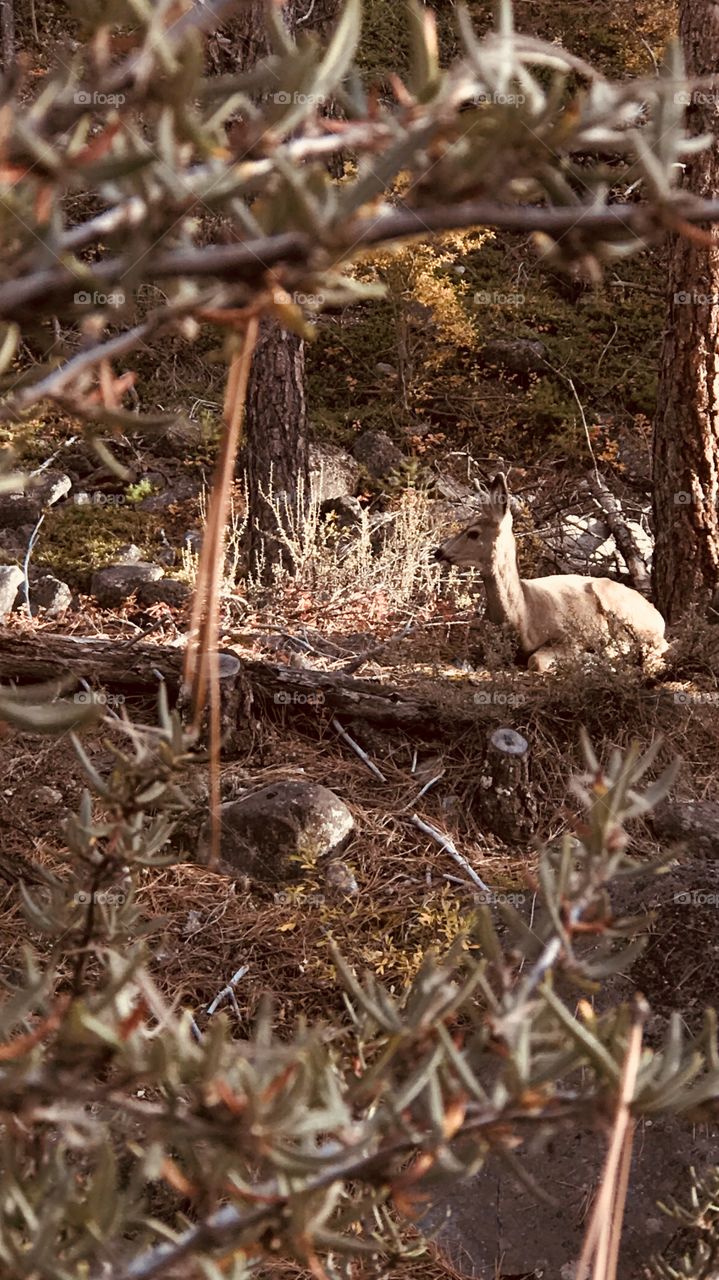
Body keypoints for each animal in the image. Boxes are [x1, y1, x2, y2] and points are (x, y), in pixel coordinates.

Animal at [427, 476, 665, 675]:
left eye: (473, 533)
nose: (439, 551)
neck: (521, 616)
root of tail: (657, 614)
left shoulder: (569, 636)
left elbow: (536, 661)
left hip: (624, 609)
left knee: (654, 645)